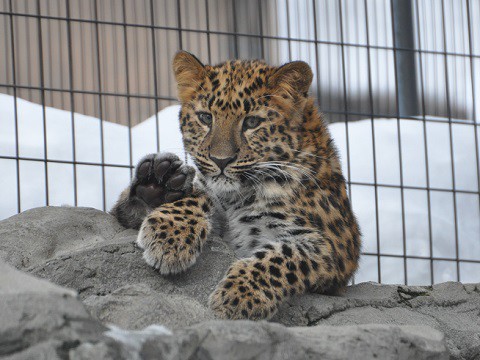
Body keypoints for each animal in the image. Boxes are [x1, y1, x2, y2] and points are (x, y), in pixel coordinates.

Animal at [111, 50, 360, 320]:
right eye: (205, 118)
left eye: (251, 122)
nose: (221, 160)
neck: (236, 196)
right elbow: (200, 193)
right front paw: (168, 229)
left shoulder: (334, 245)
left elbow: (282, 258)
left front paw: (239, 297)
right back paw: (157, 182)